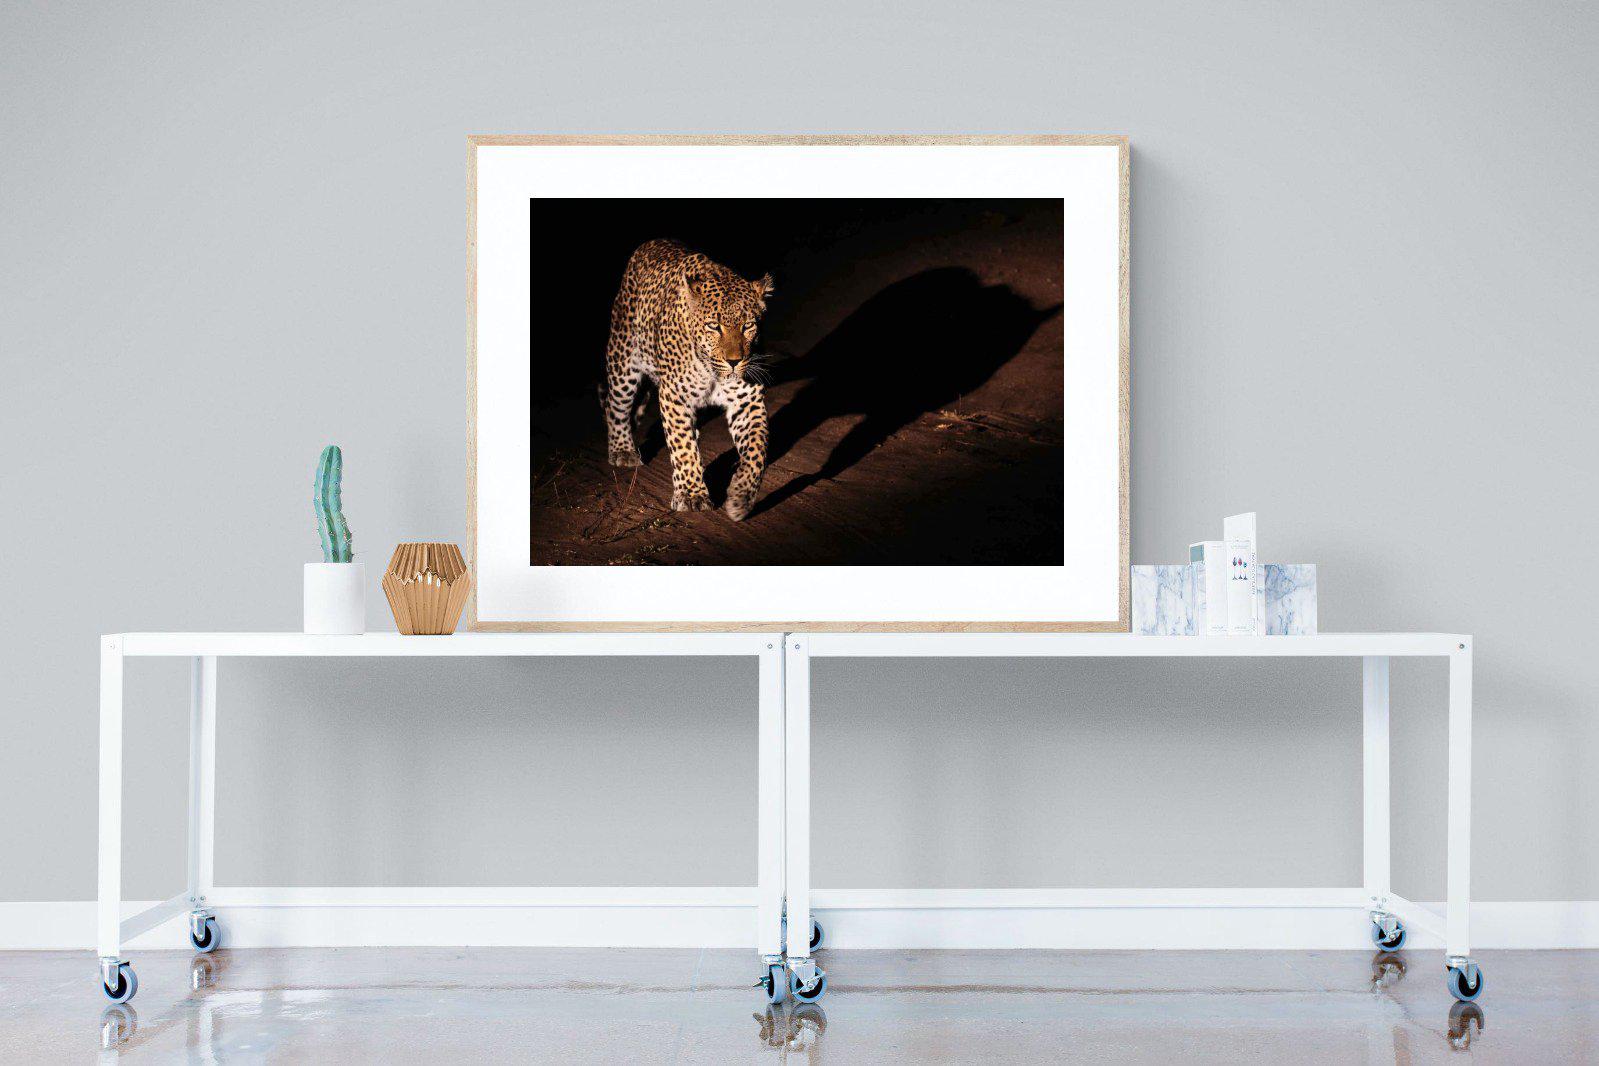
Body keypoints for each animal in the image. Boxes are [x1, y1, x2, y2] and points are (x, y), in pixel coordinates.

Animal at [603, 238, 774, 521]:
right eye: (714, 326)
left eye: (748, 326)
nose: (734, 361)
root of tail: (651, 242)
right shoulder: (675, 396)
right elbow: (682, 447)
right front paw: (692, 495)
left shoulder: (746, 400)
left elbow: (756, 450)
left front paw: (740, 496)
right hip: (623, 362)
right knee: (615, 406)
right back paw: (622, 451)